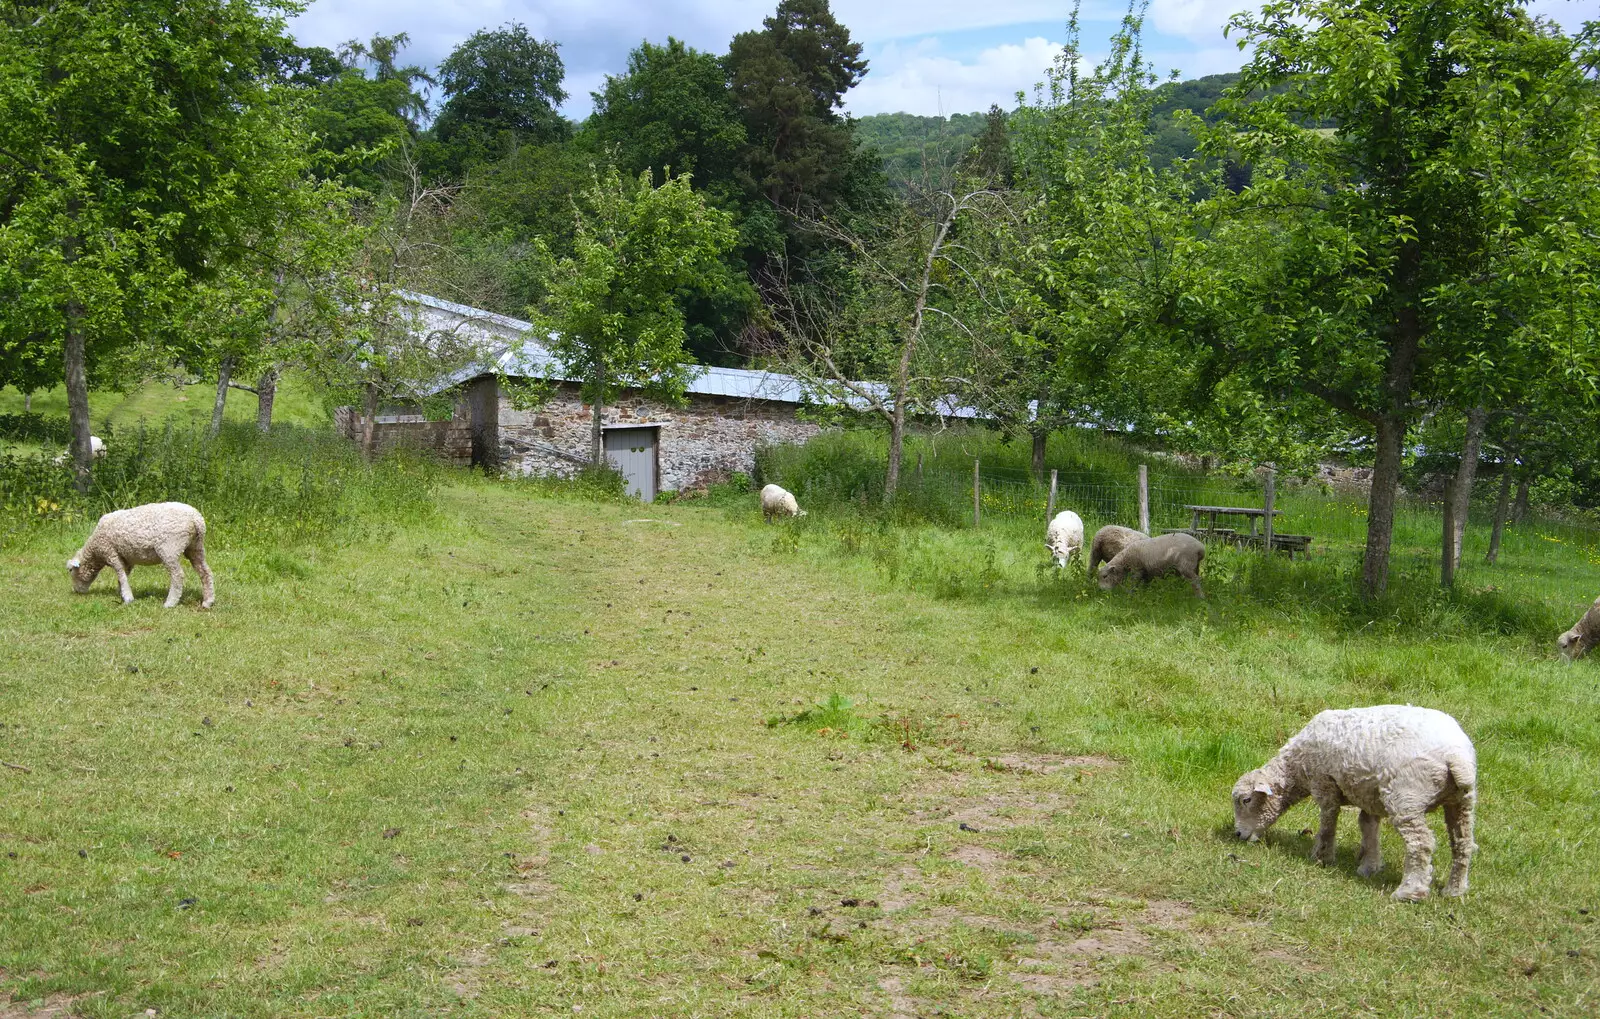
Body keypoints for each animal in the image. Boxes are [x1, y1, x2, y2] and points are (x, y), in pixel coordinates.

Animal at [65, 499, 214, 607]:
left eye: (71, 571)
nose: (77, 591)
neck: (95, 550)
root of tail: (196, 519)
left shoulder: (111, 552)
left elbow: (120, 574)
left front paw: (128, 598)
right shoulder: (126, 558)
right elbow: (123, 576)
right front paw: (122, 594)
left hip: (169, 547)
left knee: (178, 575)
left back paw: (170, 603)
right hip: (196, 547)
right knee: (205, 572)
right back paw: (208, 601)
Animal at [1228, 703, 1478, 902]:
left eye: (1246, 800)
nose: (1238, 834)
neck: (1295, 768)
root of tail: (1456, 756)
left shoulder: (1324, 783)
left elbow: (1328, 823)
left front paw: (1321, 857)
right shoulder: (1369, 795)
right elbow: (1368, 826)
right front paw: (1369, 866)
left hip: (1407, 796)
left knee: (1421, 843)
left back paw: (1409, 893)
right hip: (1462, 800)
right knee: (1463, 843)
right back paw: (1454, 890)